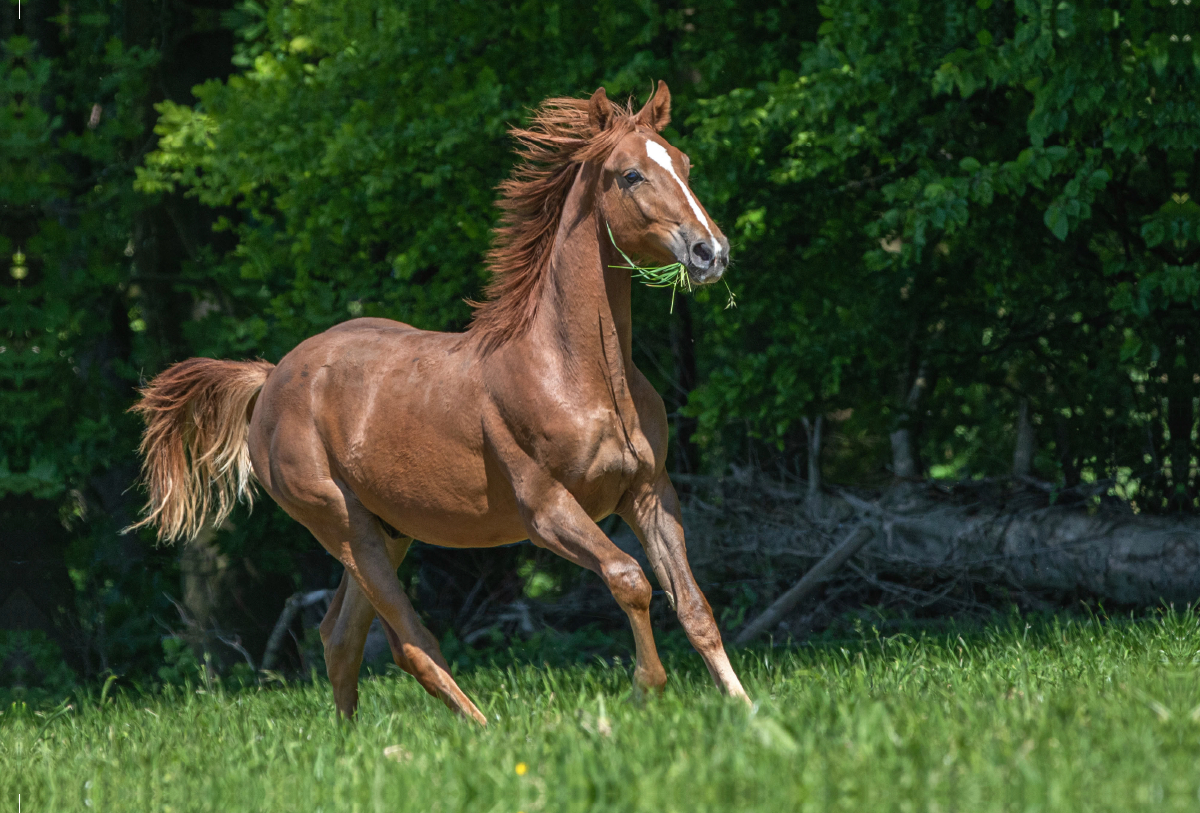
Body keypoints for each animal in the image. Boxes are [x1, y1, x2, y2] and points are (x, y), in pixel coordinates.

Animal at [133, 79, 748, 724]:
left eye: (684, 163)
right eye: (631, 175)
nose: (711, 252)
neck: (578, 374)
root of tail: (272, 375)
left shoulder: (650, 493)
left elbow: (695, 607)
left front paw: (747, 708)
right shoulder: (546, 511)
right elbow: (629, 578)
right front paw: (646, 689)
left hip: (389, 529)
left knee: (339, 635)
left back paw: (354, 739)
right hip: (344, 526)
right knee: (409, 643)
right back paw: (482, 728)